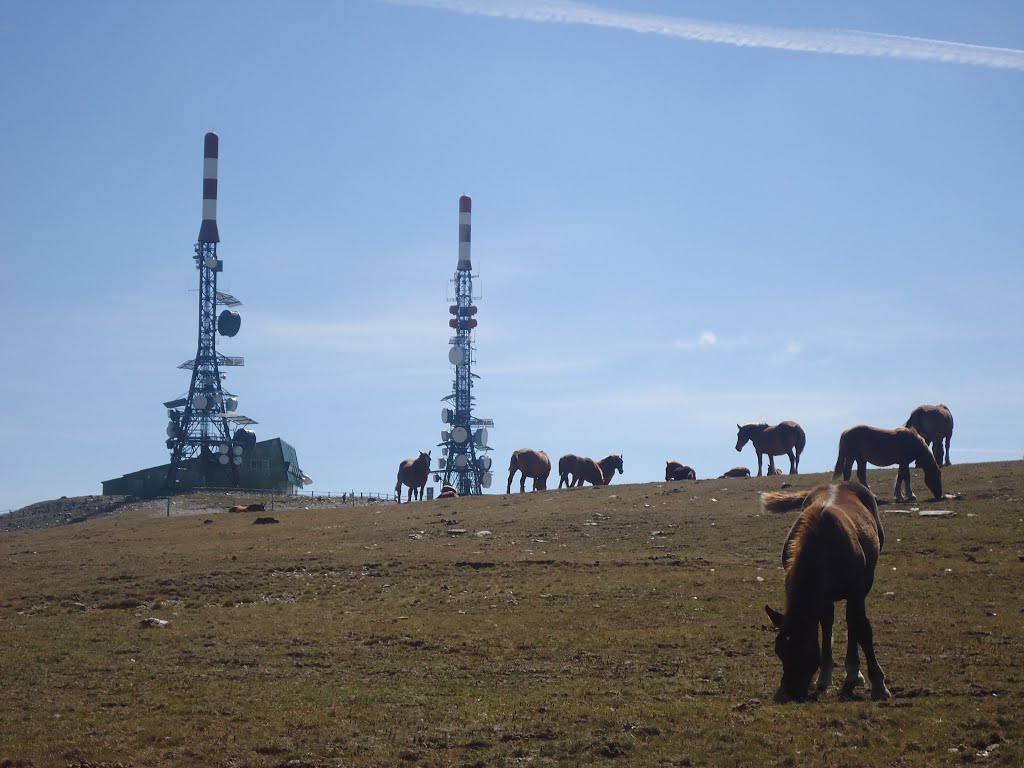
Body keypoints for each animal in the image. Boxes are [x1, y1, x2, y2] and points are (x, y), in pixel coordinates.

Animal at [765, 483, 892, 708]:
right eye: (779, 651)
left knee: (853, 621)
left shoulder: (856, 591)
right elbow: (826, 626)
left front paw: (879, 684)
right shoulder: (820, 597)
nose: (789, 693)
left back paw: (854, 672)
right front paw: (824, 676)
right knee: (830, 622)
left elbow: (862, 628)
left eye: (804, 649)